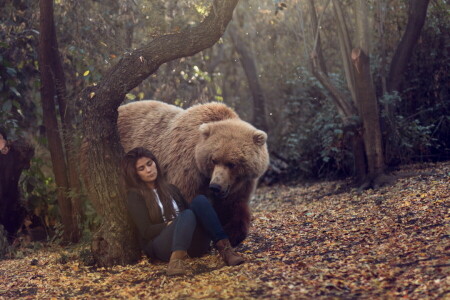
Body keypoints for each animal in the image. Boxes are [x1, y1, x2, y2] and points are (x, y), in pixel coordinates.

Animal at [118, 101, 268, 246]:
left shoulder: (241, 184)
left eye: (232, 164)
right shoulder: (188, 170)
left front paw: (233, 234)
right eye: (213, 160)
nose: (216, 186)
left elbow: (235, 205)